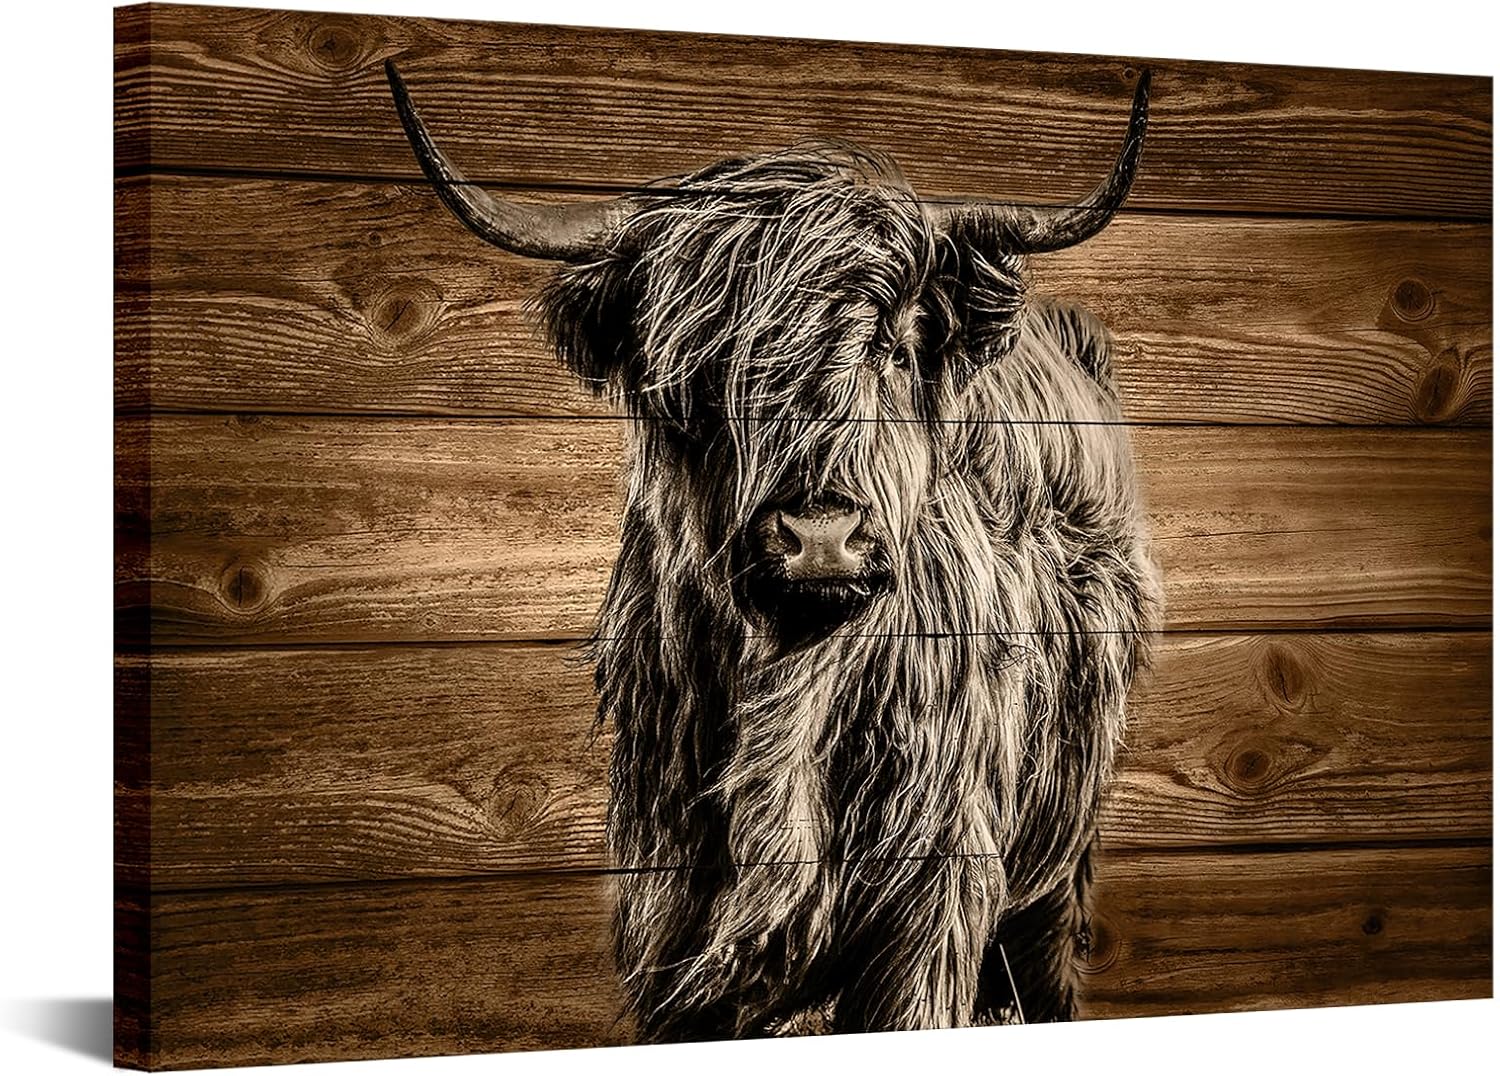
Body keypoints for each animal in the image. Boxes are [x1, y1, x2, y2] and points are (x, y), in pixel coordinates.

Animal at [386, 60, 1159, 1040]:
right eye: (698, 371)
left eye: (892, 346)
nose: (821, 539)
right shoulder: (670, 917)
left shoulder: (930, 906)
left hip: (1058, 858)